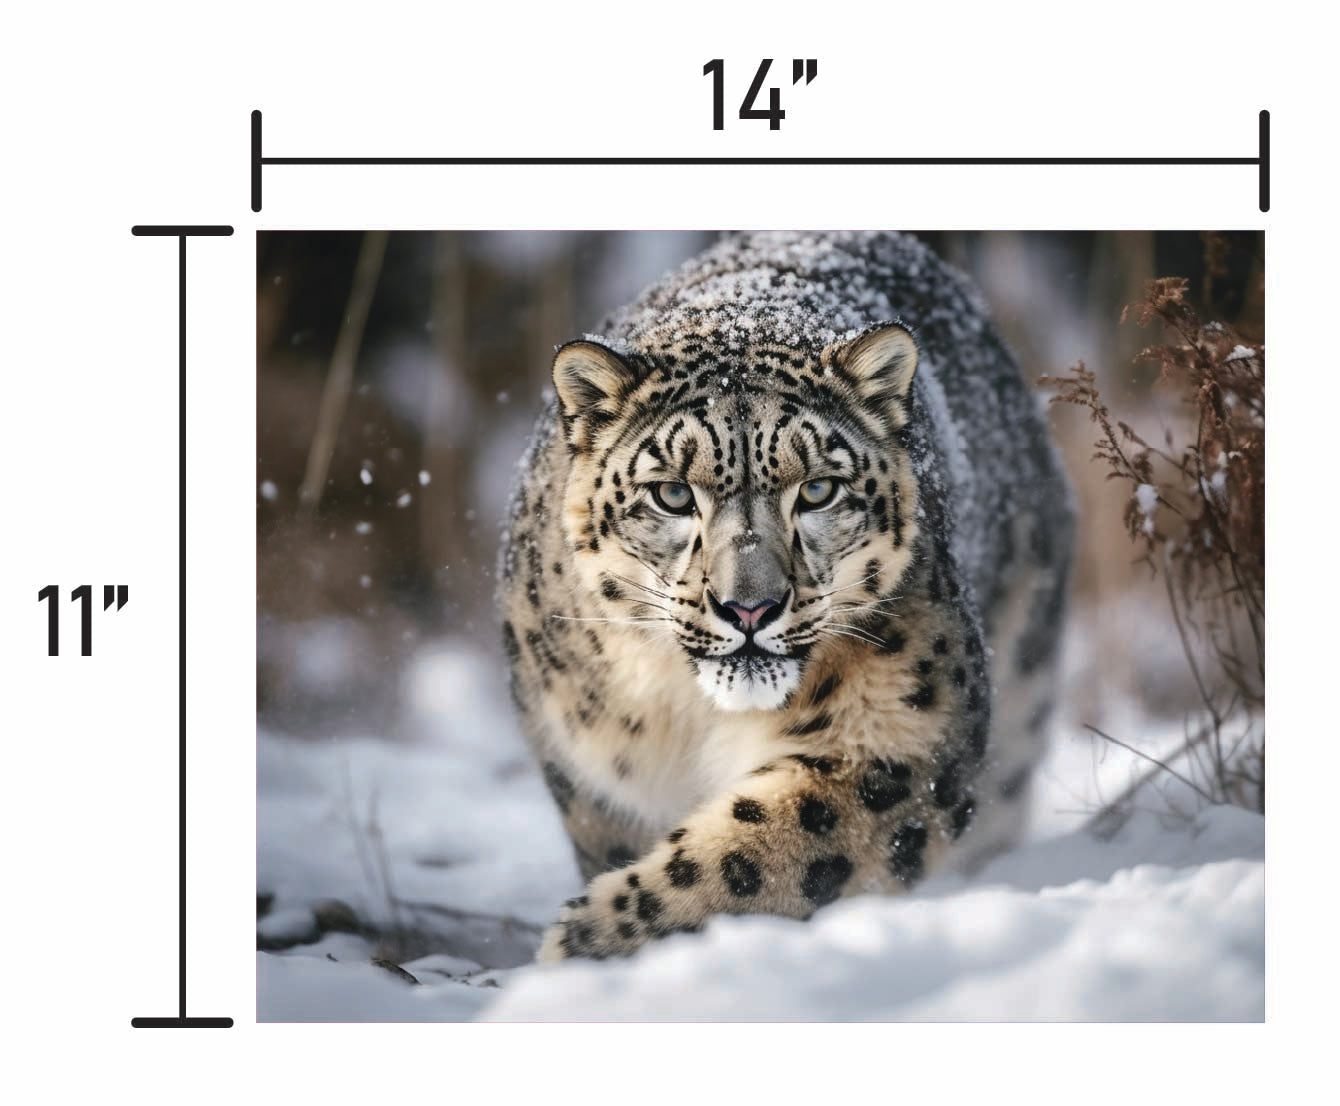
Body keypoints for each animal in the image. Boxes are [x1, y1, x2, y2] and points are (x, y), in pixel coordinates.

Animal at [497, 230, 1074, 961]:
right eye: (673, 493)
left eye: (819, 489)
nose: (750, 607)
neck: (691, 718)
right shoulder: (588, 769)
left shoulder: (899, 735)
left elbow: (761, 854)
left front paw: (590, 940)